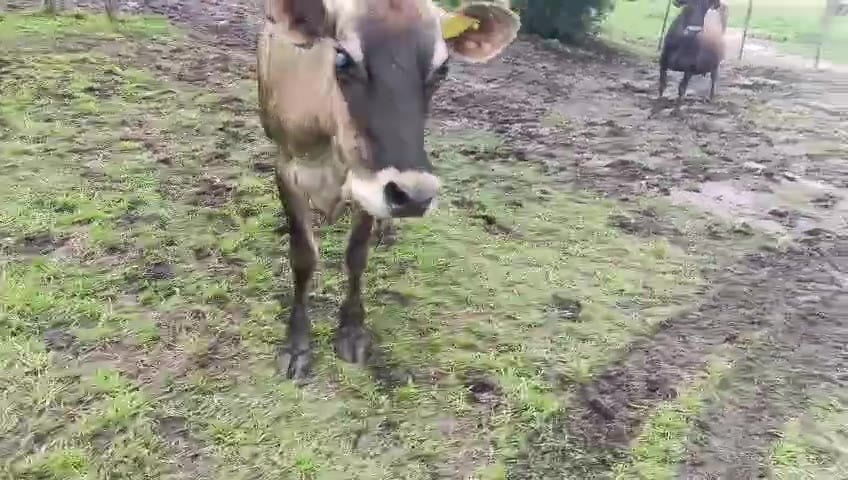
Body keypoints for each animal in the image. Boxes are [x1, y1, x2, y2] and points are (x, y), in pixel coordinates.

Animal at [257, 0, 520, 379]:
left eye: (442, 69)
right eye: (342, 59)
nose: (414, 197)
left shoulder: (368, 186)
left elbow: (356, 255)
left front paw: (351, 330)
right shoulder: (286, 167)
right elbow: (303, 256)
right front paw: (296, 343)